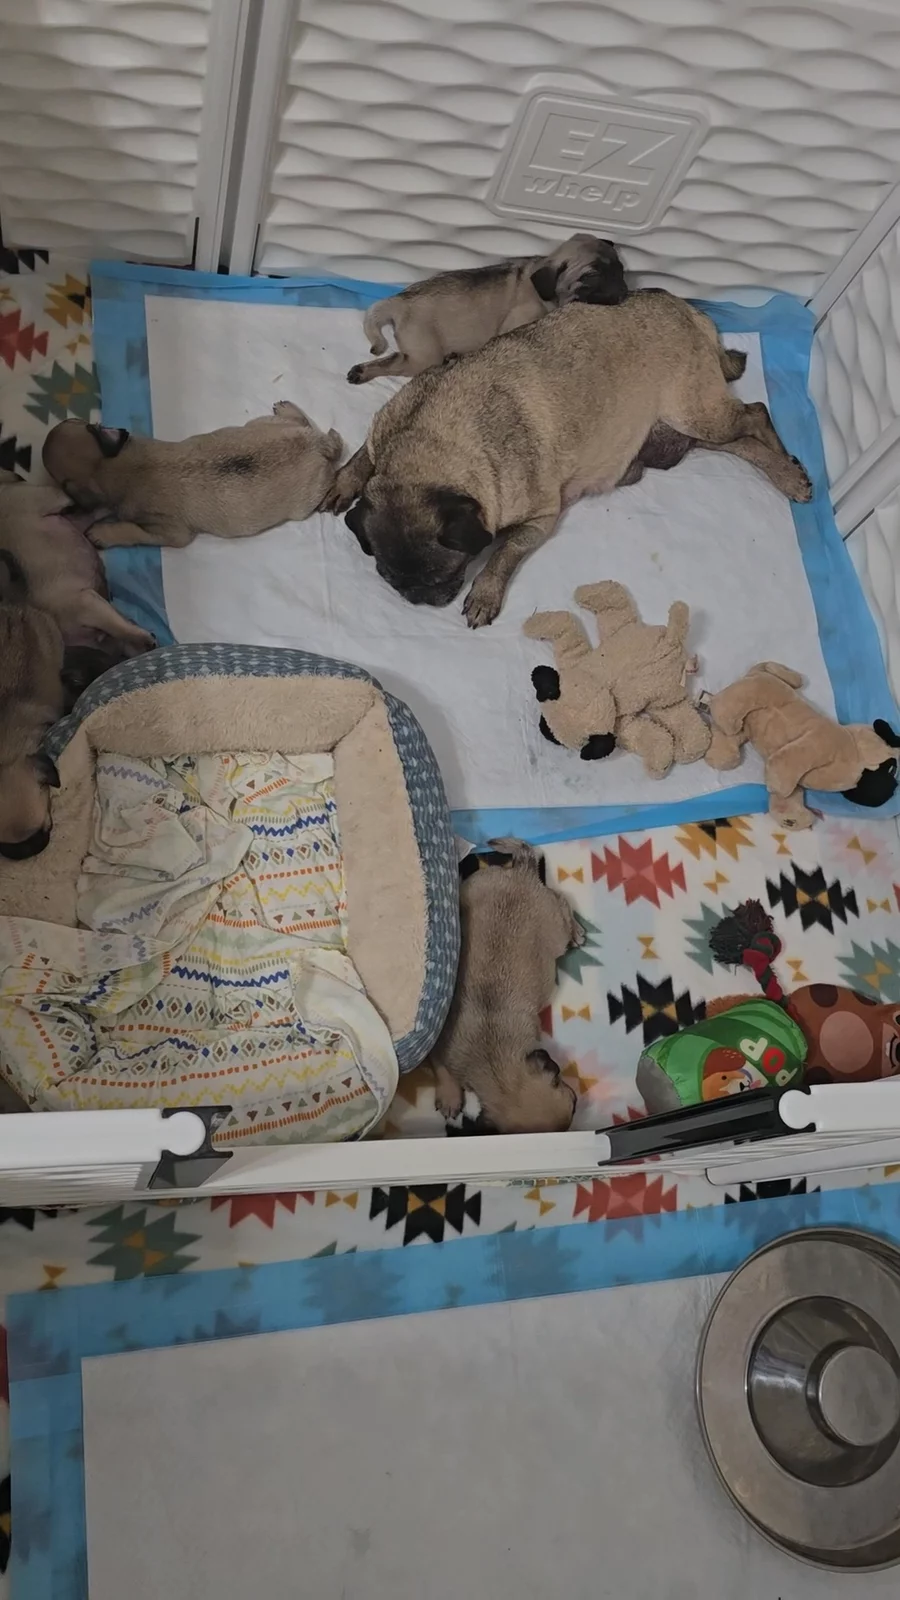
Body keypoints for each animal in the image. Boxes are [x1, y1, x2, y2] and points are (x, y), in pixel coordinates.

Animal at [42, 402, 344, 548]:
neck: (116, 466)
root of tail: (318, 444)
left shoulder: (170, 533)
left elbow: (131, 530)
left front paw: (103, 533)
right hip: (261, 424)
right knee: (300, 422)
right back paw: (288, 409)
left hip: (305, 502)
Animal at [324, 292, 813, 627]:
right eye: (389, 574)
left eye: (445, 575)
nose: (416, 598)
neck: (428, 450)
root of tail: (682, 307)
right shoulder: (382, 440)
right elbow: (361, 459)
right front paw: (343, 482)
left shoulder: (540, 519)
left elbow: (504, 552)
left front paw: (485, 593)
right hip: (695, 432)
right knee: (745, 441)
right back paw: (784, 471)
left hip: (698, 414)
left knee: (755, 415)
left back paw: (789, 470)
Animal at [346, 234, 628, 384]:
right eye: (590, 277)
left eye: (620, 269)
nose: (623, 290)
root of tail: (399, 301)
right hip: (424, 358)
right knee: (396, 363)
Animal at [429, 840, 582, 1133]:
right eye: (573, 1103)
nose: (578, 1099)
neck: (495, 1065)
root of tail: (522, 873)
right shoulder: (440, 1044)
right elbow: (440, 1068)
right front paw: (450, 1096)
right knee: (561, 901)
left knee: (562, 902)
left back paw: (578, 930)